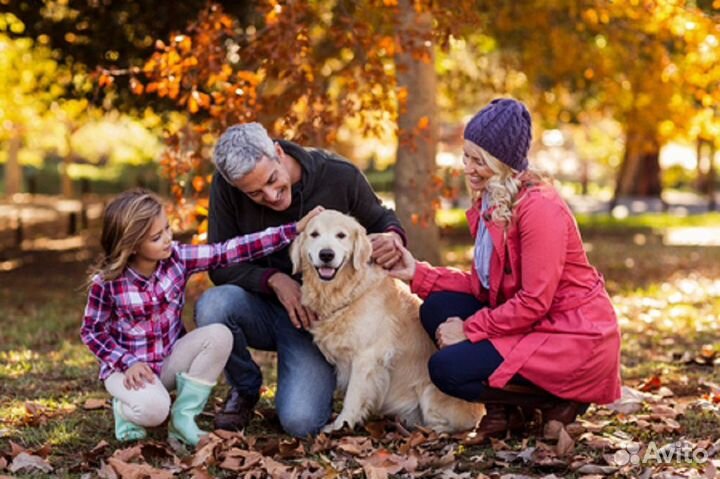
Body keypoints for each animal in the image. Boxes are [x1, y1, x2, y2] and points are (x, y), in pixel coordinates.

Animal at [290, 212, 486, 434]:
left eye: (341, 235)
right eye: (314, 234)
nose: (326, 255)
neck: (346, 290)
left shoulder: (366, 356)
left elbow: (353, 397)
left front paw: (341, 425)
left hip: (430, 394)